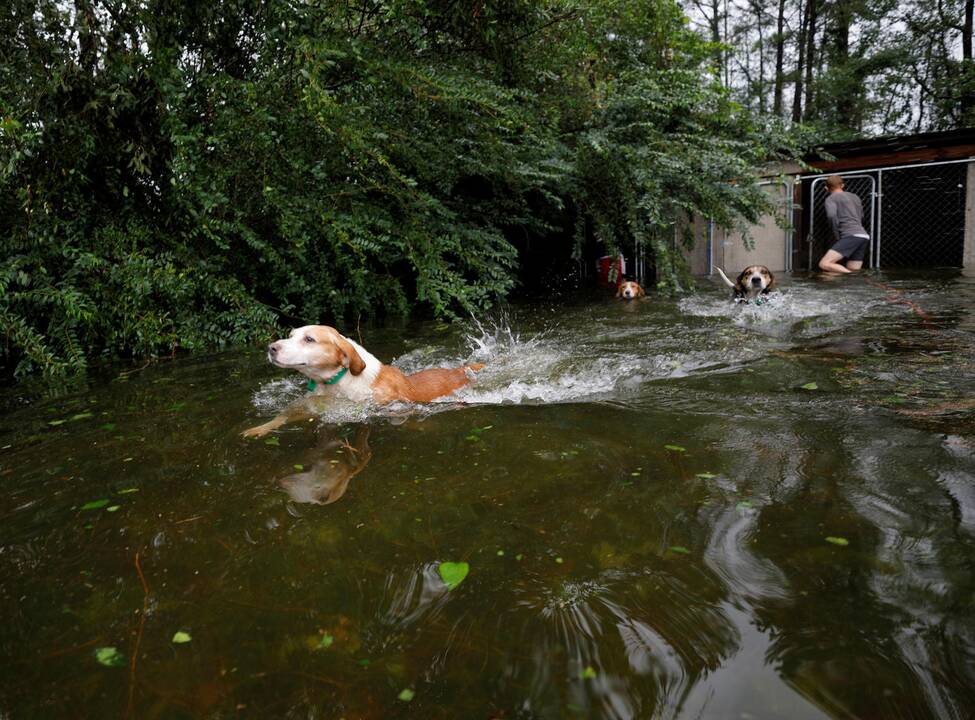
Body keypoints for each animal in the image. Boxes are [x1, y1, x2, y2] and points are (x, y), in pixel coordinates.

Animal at [242, 326, 482, 438]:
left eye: (309, 339)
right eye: (290, 335)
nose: (271, 347)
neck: (336, 383)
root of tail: (459, 369)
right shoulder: (310, 406)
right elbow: (281, 417)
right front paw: (258, 429)